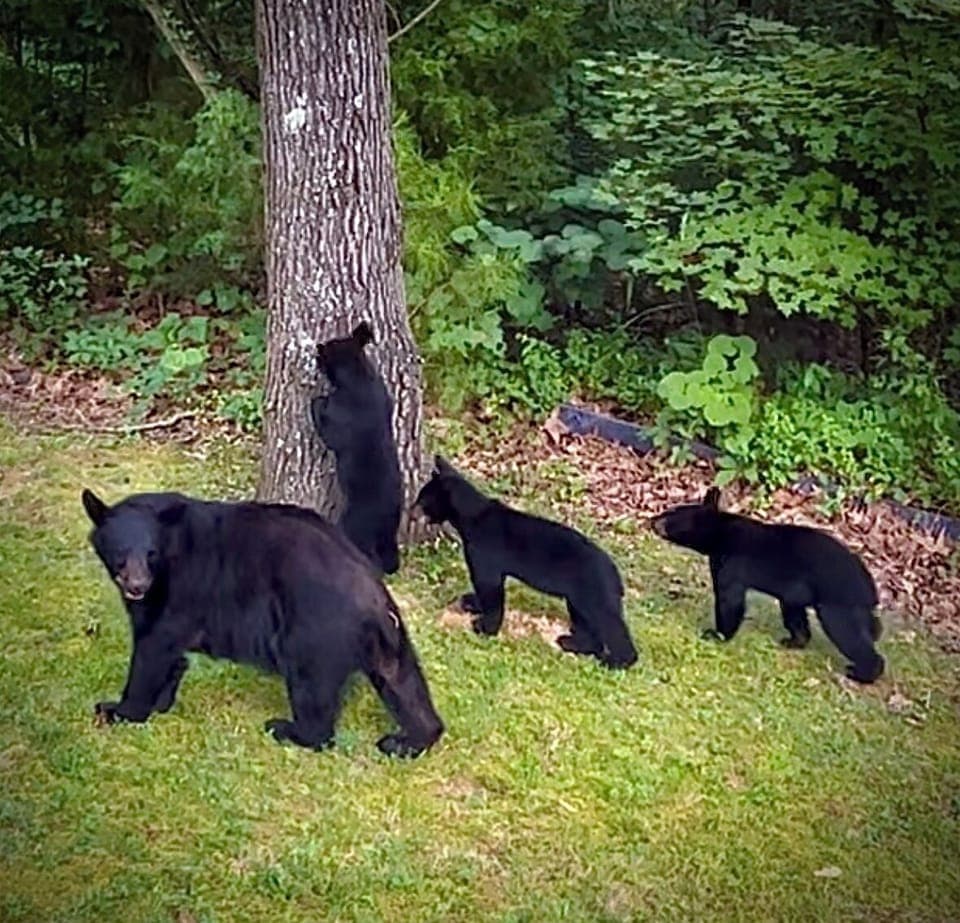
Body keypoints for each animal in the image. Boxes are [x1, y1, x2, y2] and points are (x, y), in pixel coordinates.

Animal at [81, 488, 444, 757]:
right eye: (121, 552)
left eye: (150, 553)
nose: (137, 586)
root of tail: (372, 596)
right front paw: (163, 696)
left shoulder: (179, 586)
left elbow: (154, 644)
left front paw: (119, 709)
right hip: (390, 638)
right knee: (403, 682)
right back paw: (407, 740)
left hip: (313, 630)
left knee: (311, 689)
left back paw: (288, 730)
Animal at [310, 321, 402, 575]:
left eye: (323, 354)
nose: (317, 348)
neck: (357, 376)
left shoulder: (337, 420)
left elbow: (324, 419)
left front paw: (317, 400)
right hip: (389, 531)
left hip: (353, 525)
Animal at [413, 456, 638, 669]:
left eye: (423, 499)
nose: (412, 510)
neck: (473, 516)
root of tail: (615, 574)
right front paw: (472, 603)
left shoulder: (485, 563)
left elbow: (491, 594)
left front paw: (485, 628)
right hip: (577, 601)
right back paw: (570, 642)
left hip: (595, 598)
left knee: (613, 630)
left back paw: (615, 662)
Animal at [650, 486, 884, 683]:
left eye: (670, 513)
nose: (652, 519)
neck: (721, 533)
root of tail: (870, 588)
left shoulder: (731, 562)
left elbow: (730, 600)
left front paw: (716, 635)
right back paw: (794, 641)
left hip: (837, 600)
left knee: (847, 632)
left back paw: (862, 673)